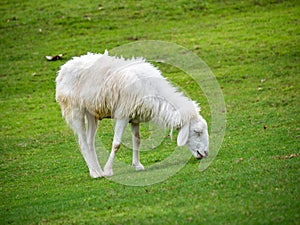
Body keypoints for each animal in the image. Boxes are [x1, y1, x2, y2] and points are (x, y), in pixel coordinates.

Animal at [55, 50, 209, 178]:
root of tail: (64, 68)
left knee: (89, 141)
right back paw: (95, 173)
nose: (206, 153)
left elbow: (137, 140)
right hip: (74, 109)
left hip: (92, 112)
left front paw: (137, 165)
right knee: (82, 142)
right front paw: (108, 170)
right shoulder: (123, 114)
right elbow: (116, 144)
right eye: (197, 132)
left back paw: (97, 170)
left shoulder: (135, 117)